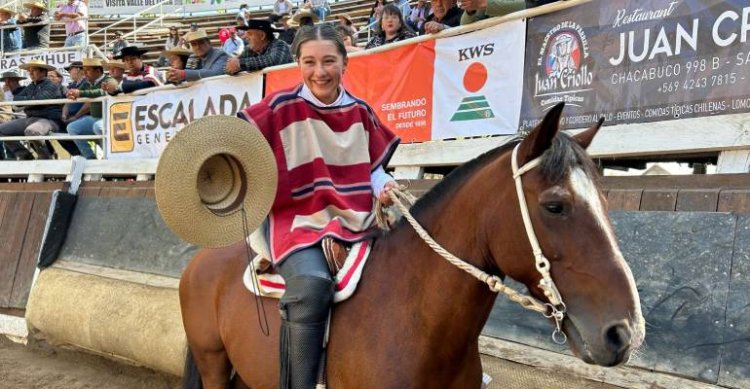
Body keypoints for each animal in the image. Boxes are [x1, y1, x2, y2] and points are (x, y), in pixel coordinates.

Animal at [178, 104, 648, 388]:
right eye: (555, 205)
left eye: (606, 200)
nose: (624, 332)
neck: (412, 322)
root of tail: (201, 262)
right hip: (213, 361)